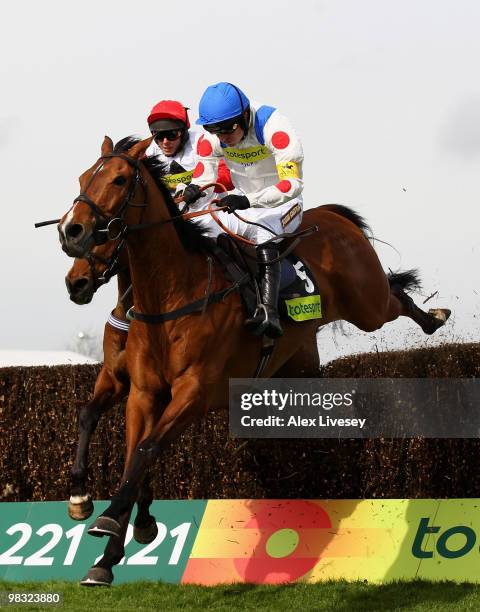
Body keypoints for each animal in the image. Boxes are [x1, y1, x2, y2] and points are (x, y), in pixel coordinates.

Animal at [58, 136, 448, 584]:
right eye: (83, 178)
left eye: (119, 179)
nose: (70, 232)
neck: (171, 297)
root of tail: (332, 216)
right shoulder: (140, 391)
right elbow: (124, 452)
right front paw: (106, 553)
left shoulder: (194, 392)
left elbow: (145, 450)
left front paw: (111, 519)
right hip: (302, 362)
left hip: (367, 305)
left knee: (395, 293)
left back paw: (434, 317)